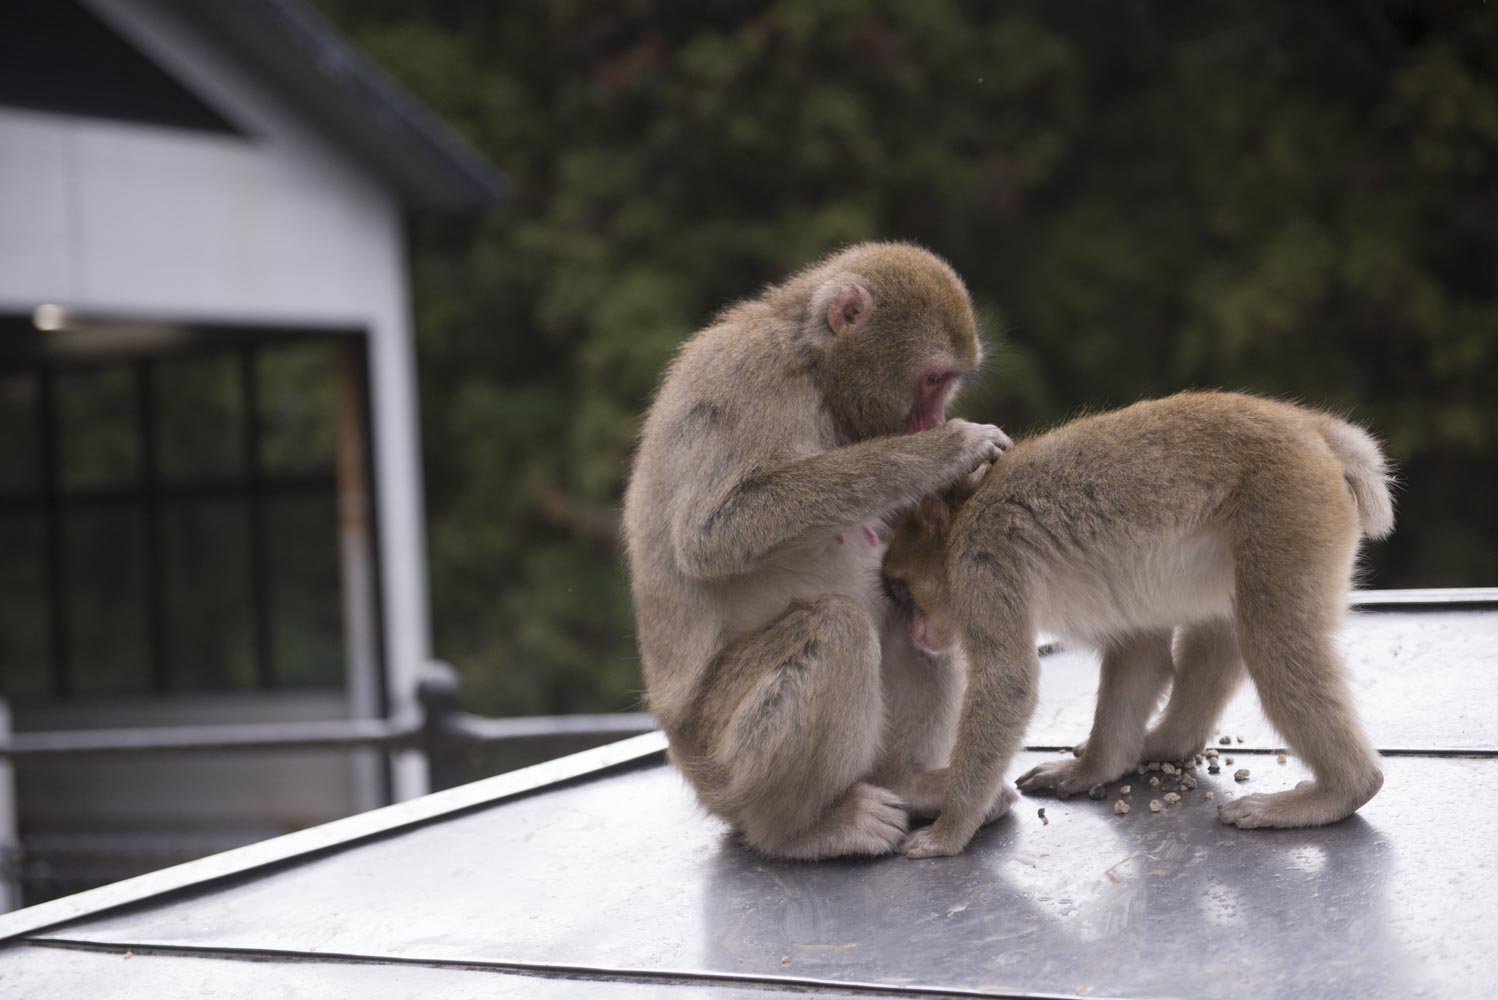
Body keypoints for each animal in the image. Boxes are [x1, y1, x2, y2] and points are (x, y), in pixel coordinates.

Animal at [620, 242, 1006, 862]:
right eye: (932, 379)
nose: (931, 419)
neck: (814, 372)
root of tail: (685, 755)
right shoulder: (747, 376)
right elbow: (713, 534)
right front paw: (949, 450)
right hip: (722, 754)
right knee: (832, 627)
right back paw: (802, 829)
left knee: (910, 618)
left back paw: (909, 781)